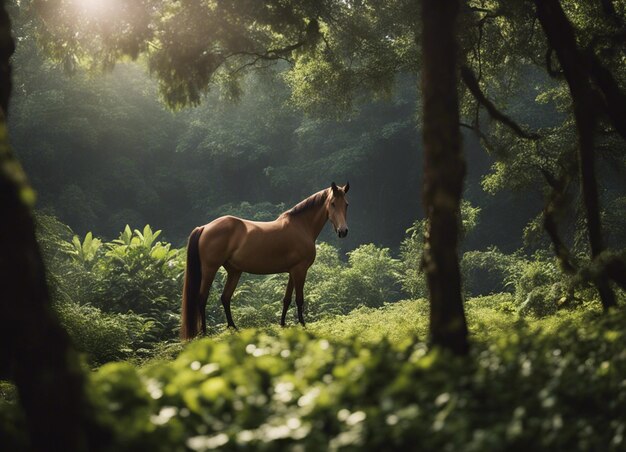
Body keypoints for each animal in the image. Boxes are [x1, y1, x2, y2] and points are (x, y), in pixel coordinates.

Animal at [179, 181, 352, 340]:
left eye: (346, 204)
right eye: (333, 203)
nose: (343, 231)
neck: (302, 226)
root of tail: (205, 227)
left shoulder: (292, 271)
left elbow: (286, 299)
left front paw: (282, 325)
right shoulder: (300, 270)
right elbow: (299, 299)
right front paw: (303, 326)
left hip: (234, 271)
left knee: (225, 298)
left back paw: (234, 328)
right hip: (210, 269)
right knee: (202, 298)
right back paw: (204, 333)